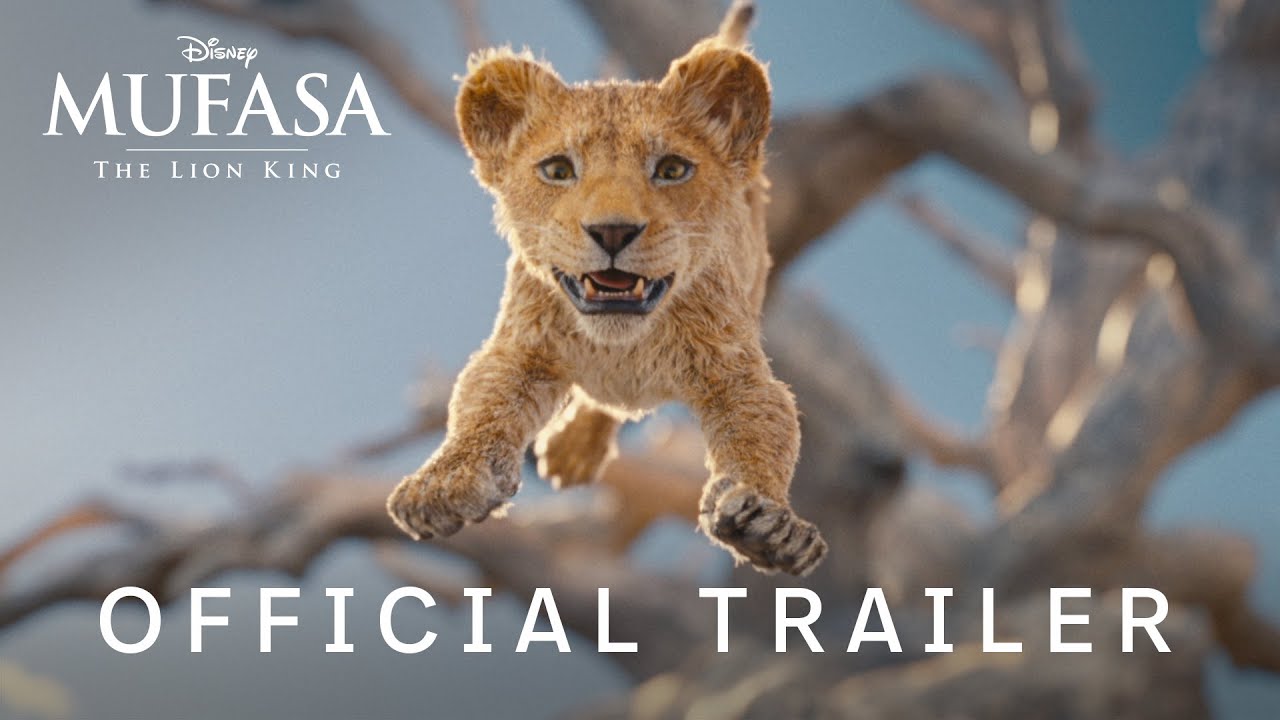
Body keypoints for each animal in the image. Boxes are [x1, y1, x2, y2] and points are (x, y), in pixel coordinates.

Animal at [386, 31, 828, 575]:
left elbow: (763, 433)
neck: (623, 345)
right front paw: (443, 484)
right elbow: (481, 406)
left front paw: (768, 524)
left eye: (672, 169)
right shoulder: (521, 348)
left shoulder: (735, 371)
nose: (613, 231)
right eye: (558, 169)